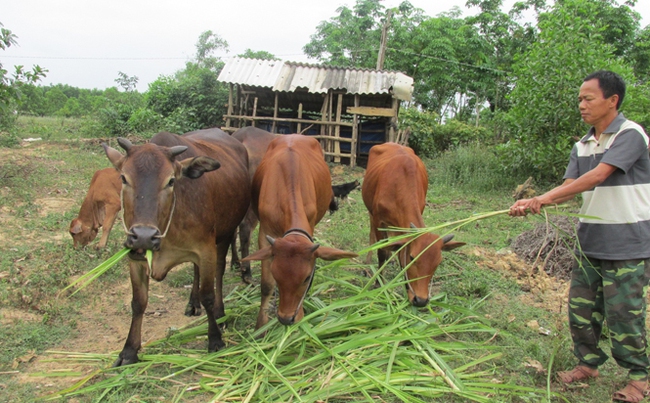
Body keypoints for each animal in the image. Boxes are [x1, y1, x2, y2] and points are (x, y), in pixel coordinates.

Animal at [102, 129, 249, 366]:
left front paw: (215, 339)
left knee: (218, 272)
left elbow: (208, 294)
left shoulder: (206, 250)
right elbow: (138, 302)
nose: (144, 236)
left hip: (225, 234)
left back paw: (219, 312)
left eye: (171, 181)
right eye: (123, 178)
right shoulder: (135, 257)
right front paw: (129, 351)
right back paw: (192, 303)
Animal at [240, 134, 356, 330]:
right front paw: (261, 326)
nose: (286, 319)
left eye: (307, 278)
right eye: (277, 275)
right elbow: (266, 285)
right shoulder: (265, 233)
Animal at [362, 144, 464, 308]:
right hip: (370, 211)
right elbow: (382, 252)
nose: (421, 300)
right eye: (412, 257)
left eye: (438, 262)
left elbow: (399, 249)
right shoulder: (379, 220)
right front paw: (378, 284)